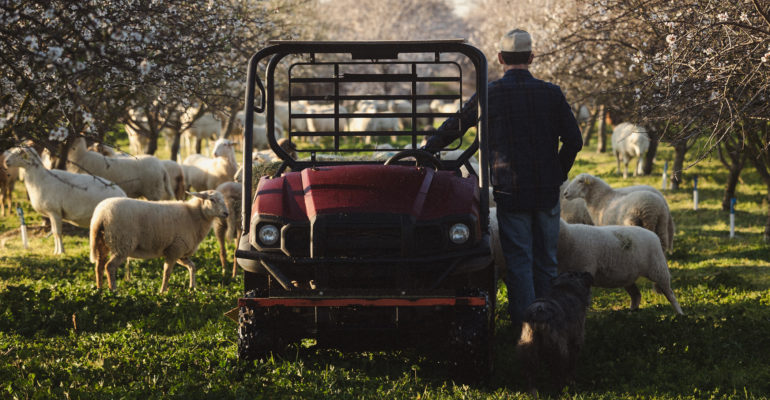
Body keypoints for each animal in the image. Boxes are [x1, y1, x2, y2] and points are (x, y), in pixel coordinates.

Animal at [90, 189, 228, 292]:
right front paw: (162, 292)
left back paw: (100, 290)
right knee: (110, 267)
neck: (193, 215)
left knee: (99, 266)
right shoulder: (175, 249)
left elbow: (192, 266)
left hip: (103, 242)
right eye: (212, 200)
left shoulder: (179, 252)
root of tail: (101, 216)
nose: (226, 213)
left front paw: (192, 288)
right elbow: (167, 272)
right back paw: (114, 291)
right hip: (122, 243)